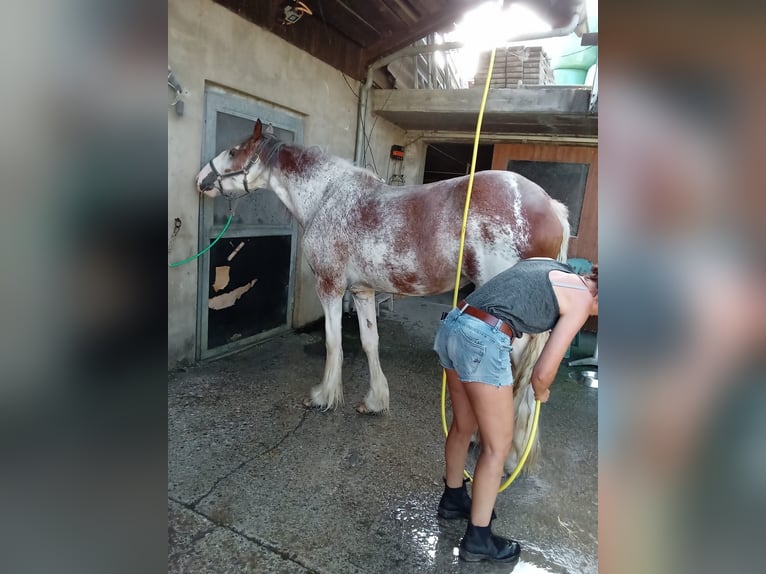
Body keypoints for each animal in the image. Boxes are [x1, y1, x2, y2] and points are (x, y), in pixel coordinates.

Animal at [196, 120, 568, 472]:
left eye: (233, 150)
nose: (200, 179)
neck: (326, 197)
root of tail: (551, 206)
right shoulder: (363, 292)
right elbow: (369, 342)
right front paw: (374, 401)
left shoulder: (329, 286)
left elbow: (333, 342)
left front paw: (323, 397)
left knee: (521, 377)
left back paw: (508, 456)